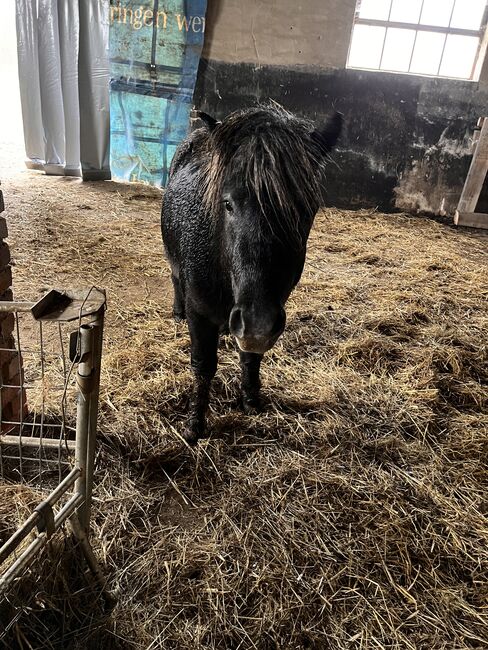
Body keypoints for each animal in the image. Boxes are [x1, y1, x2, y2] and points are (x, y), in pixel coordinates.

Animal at [162, 105, 342, 440]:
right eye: (227, 203)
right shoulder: (200, 312)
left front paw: (250, 400)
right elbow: (203, 365)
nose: (257, 324)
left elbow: (250, 358)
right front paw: (195, 425)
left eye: (306, 211)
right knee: (174, 276)